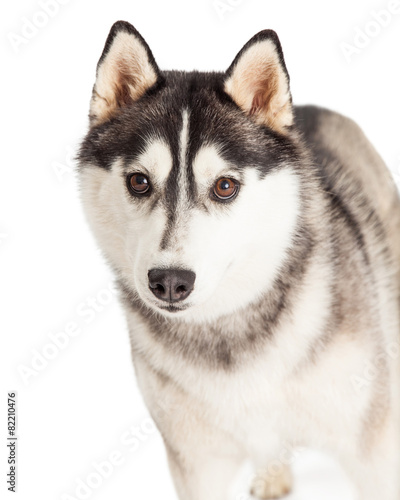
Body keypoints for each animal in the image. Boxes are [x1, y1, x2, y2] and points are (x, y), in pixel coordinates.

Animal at [78, 20, 400, 500]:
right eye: (138, 181)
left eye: (225, 186)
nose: (170, 281)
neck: (230, 331)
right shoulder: (196, 463)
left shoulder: (372, 450)